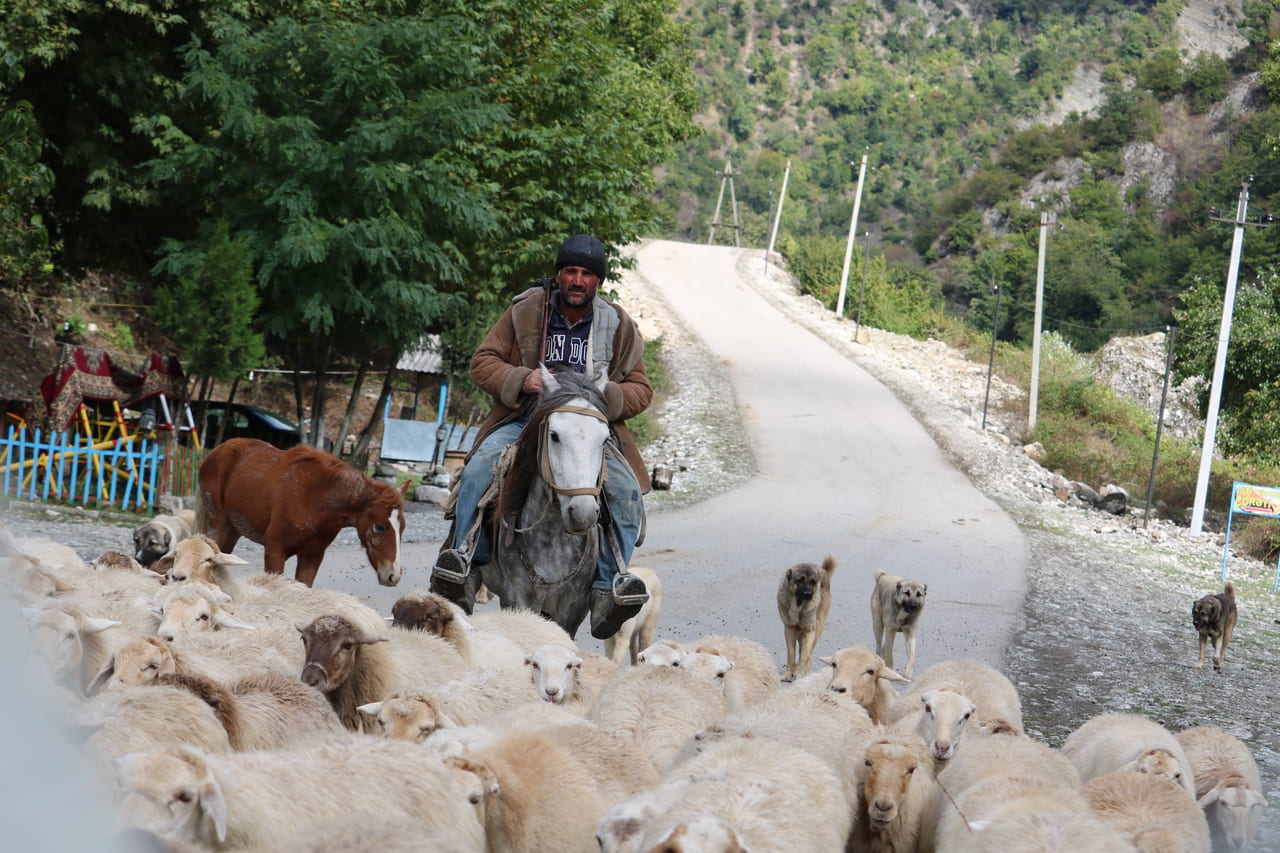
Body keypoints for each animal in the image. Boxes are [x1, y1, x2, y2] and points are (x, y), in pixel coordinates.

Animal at [195, 438, 404, 584]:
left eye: (402, 528)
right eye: (380, 526)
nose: (393, 575)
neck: (316, 500)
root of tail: (216, 452)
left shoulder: (312, 557)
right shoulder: (274, 552)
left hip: (233, 529)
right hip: (218, 524)